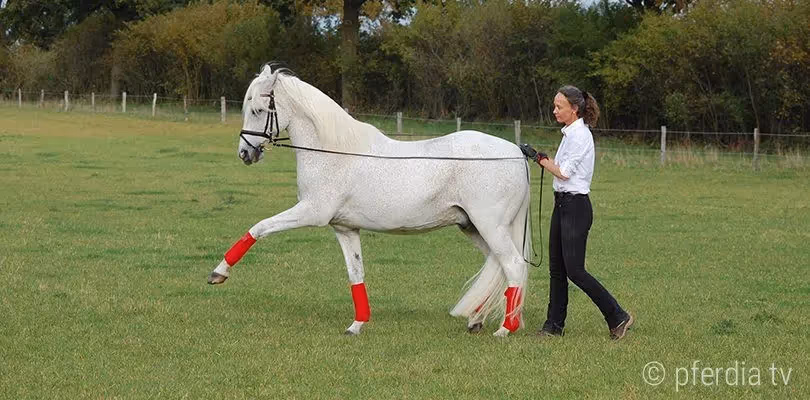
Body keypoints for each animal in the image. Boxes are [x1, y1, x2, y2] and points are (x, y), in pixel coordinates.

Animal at [207, 65, 533, 337]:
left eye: (258, 109)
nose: (245, 153)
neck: (334, 153)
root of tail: (515, 152)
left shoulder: (311, 212)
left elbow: (260, 227)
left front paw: (219, 273)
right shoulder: (345, 228)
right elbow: (356, 274)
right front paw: (357, 324)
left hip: (490, 226)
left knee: (514, 265)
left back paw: (505, 329)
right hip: (473, 227)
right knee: (499, 266)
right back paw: (478, 319)